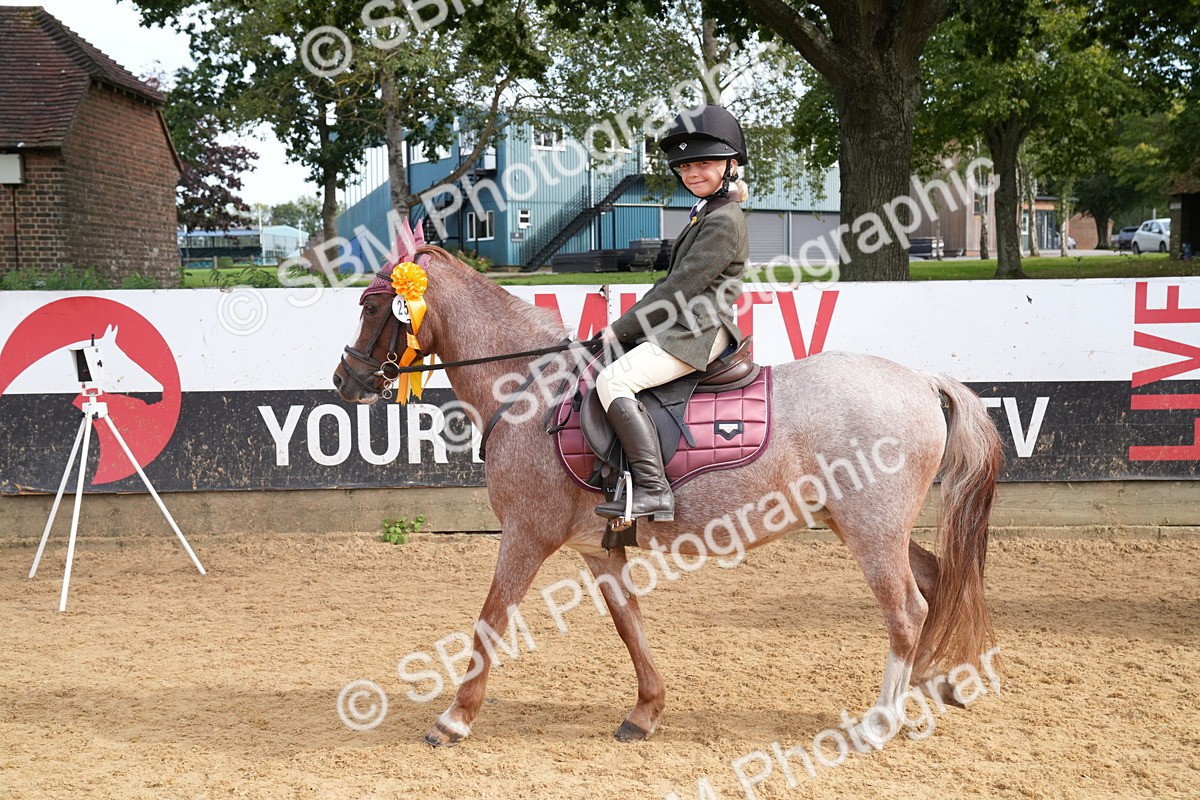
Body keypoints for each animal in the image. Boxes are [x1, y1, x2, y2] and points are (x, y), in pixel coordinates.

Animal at [332, 244, 1003, 748]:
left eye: (374, 306)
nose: (346, 379)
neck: (529, 392)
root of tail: (921, 380)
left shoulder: (527, 535)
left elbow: (492, 620)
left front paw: (454, 719)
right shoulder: (598, 546)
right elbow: (629, 623)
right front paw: (646, 712)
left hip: (871, 530)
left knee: (907, 608)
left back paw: (879, 722)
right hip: (862, 526)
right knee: (936, 582)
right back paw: (932, 686)